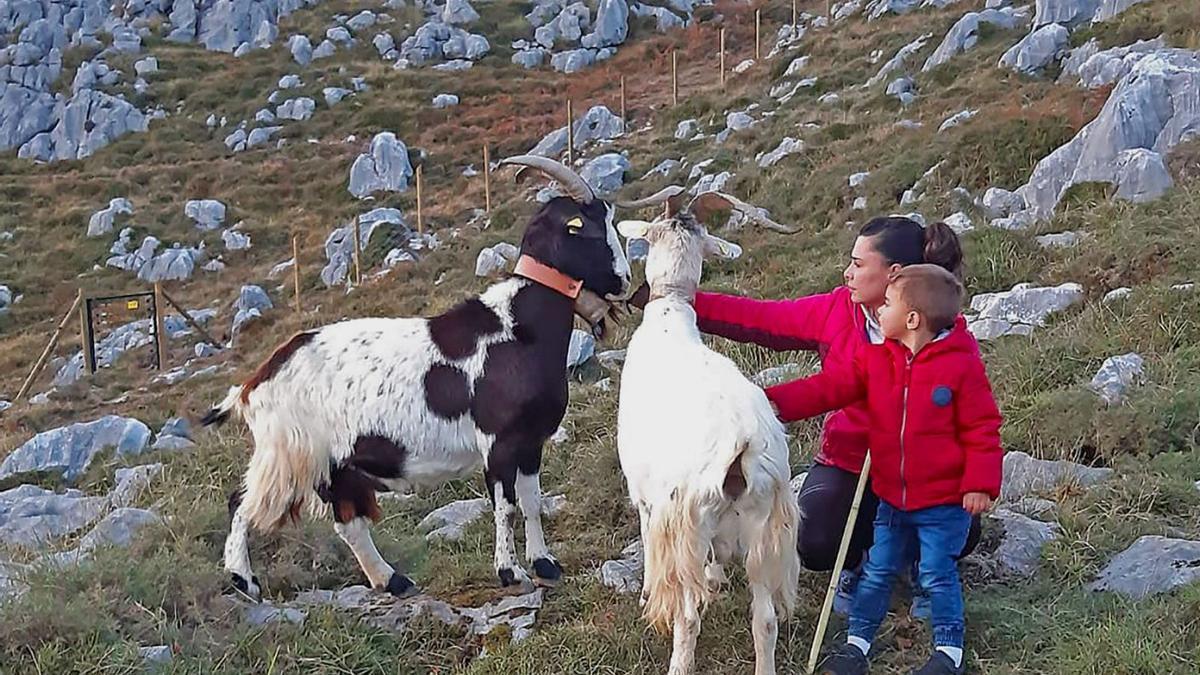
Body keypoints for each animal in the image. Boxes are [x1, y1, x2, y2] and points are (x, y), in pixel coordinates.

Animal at [204, 154, 638, 595]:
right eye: (585, 227)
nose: (625, 280)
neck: (518, 327)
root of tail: (252, 385)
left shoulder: (531, 441)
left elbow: (532, 501)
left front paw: (545, 564)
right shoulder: (497, 441)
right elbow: (506, 506)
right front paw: (510, 572)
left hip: (333, 465)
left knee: (348, 522)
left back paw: (392, 580)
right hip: (288, 452)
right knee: (241, 502)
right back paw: (243, 579)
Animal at [619, 187, 796, 672]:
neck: (670, 321)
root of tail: (741, 446)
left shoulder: (647, 495)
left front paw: (645, 592)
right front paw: (717, 582)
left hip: (689, 527)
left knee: (687, 617)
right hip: (763, 530)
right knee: (765, 620)